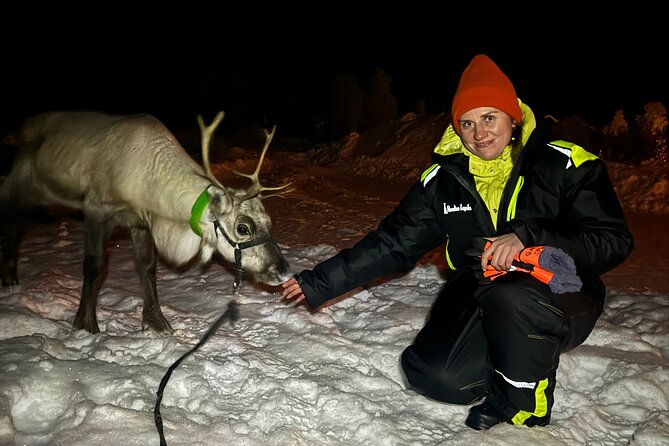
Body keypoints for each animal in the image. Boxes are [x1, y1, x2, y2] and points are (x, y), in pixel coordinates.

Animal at [0, 110, 291, 334]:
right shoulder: (96, 210)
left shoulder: (141, 223)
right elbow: (93, 267)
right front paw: (85, 325)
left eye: (270, 221)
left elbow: (147, 268)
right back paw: (9, 277)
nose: (284, 271)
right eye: (243, 228)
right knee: (11, 219)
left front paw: (156, 323)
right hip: (22, 184)